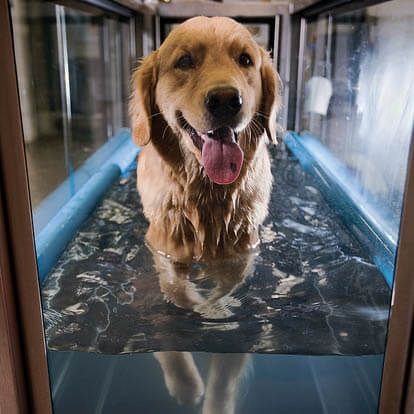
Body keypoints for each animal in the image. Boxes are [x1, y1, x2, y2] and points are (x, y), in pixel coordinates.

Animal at [128, 15, 280, 410]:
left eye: (245, 60)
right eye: (184, 61)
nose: (226, 99)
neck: (206, 194)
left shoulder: (242, 251)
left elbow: (225, 299)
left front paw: (215, 312)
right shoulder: (162, 248)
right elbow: (174, 298)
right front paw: (185, 383)